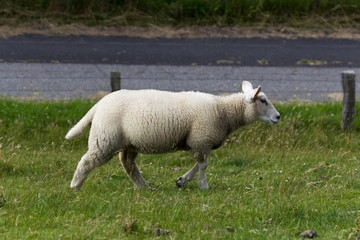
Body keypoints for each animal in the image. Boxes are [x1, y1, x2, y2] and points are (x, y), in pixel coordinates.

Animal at [66, 81, 280, 190]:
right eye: (262, 100)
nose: (278, 117)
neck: (224, 111)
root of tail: (98, 104)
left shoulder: (200, 141)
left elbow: (200, 164)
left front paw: (182, 180)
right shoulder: (201, 138)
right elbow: (203, 165)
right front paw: (203, 185)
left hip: (129, 142)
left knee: (128, 163)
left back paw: (143, 187)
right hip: (105, 139)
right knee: (87, 161)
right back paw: (75, 186)